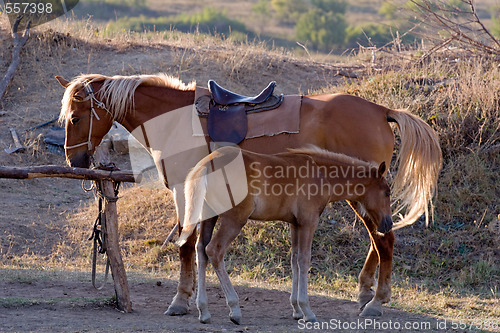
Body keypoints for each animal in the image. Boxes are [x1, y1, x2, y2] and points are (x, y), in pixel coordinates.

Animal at [56, 72, 444, 316]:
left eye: (75, 117)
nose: (75, 160)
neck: (175, 120)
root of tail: (382, 110)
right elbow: (197, 245)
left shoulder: (184, 191)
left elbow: (186, 245)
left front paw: (181, 300)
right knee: (378, 238)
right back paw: (365, 292)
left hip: (364, 193)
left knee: (384, 238)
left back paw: (377, 300)